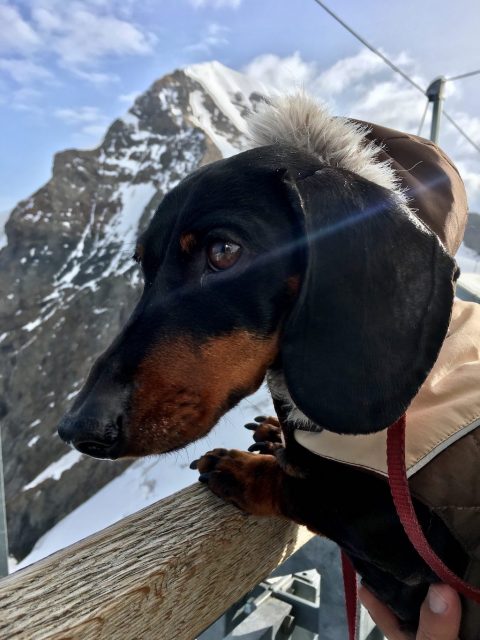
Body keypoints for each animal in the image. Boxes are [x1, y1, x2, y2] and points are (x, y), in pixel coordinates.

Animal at [58, 95, 478, 636]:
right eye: (143, 267)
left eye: (223, 251)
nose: (78, 428)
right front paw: (276, 435)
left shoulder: (415, 541)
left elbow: (313, 492)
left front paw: (243, 471)